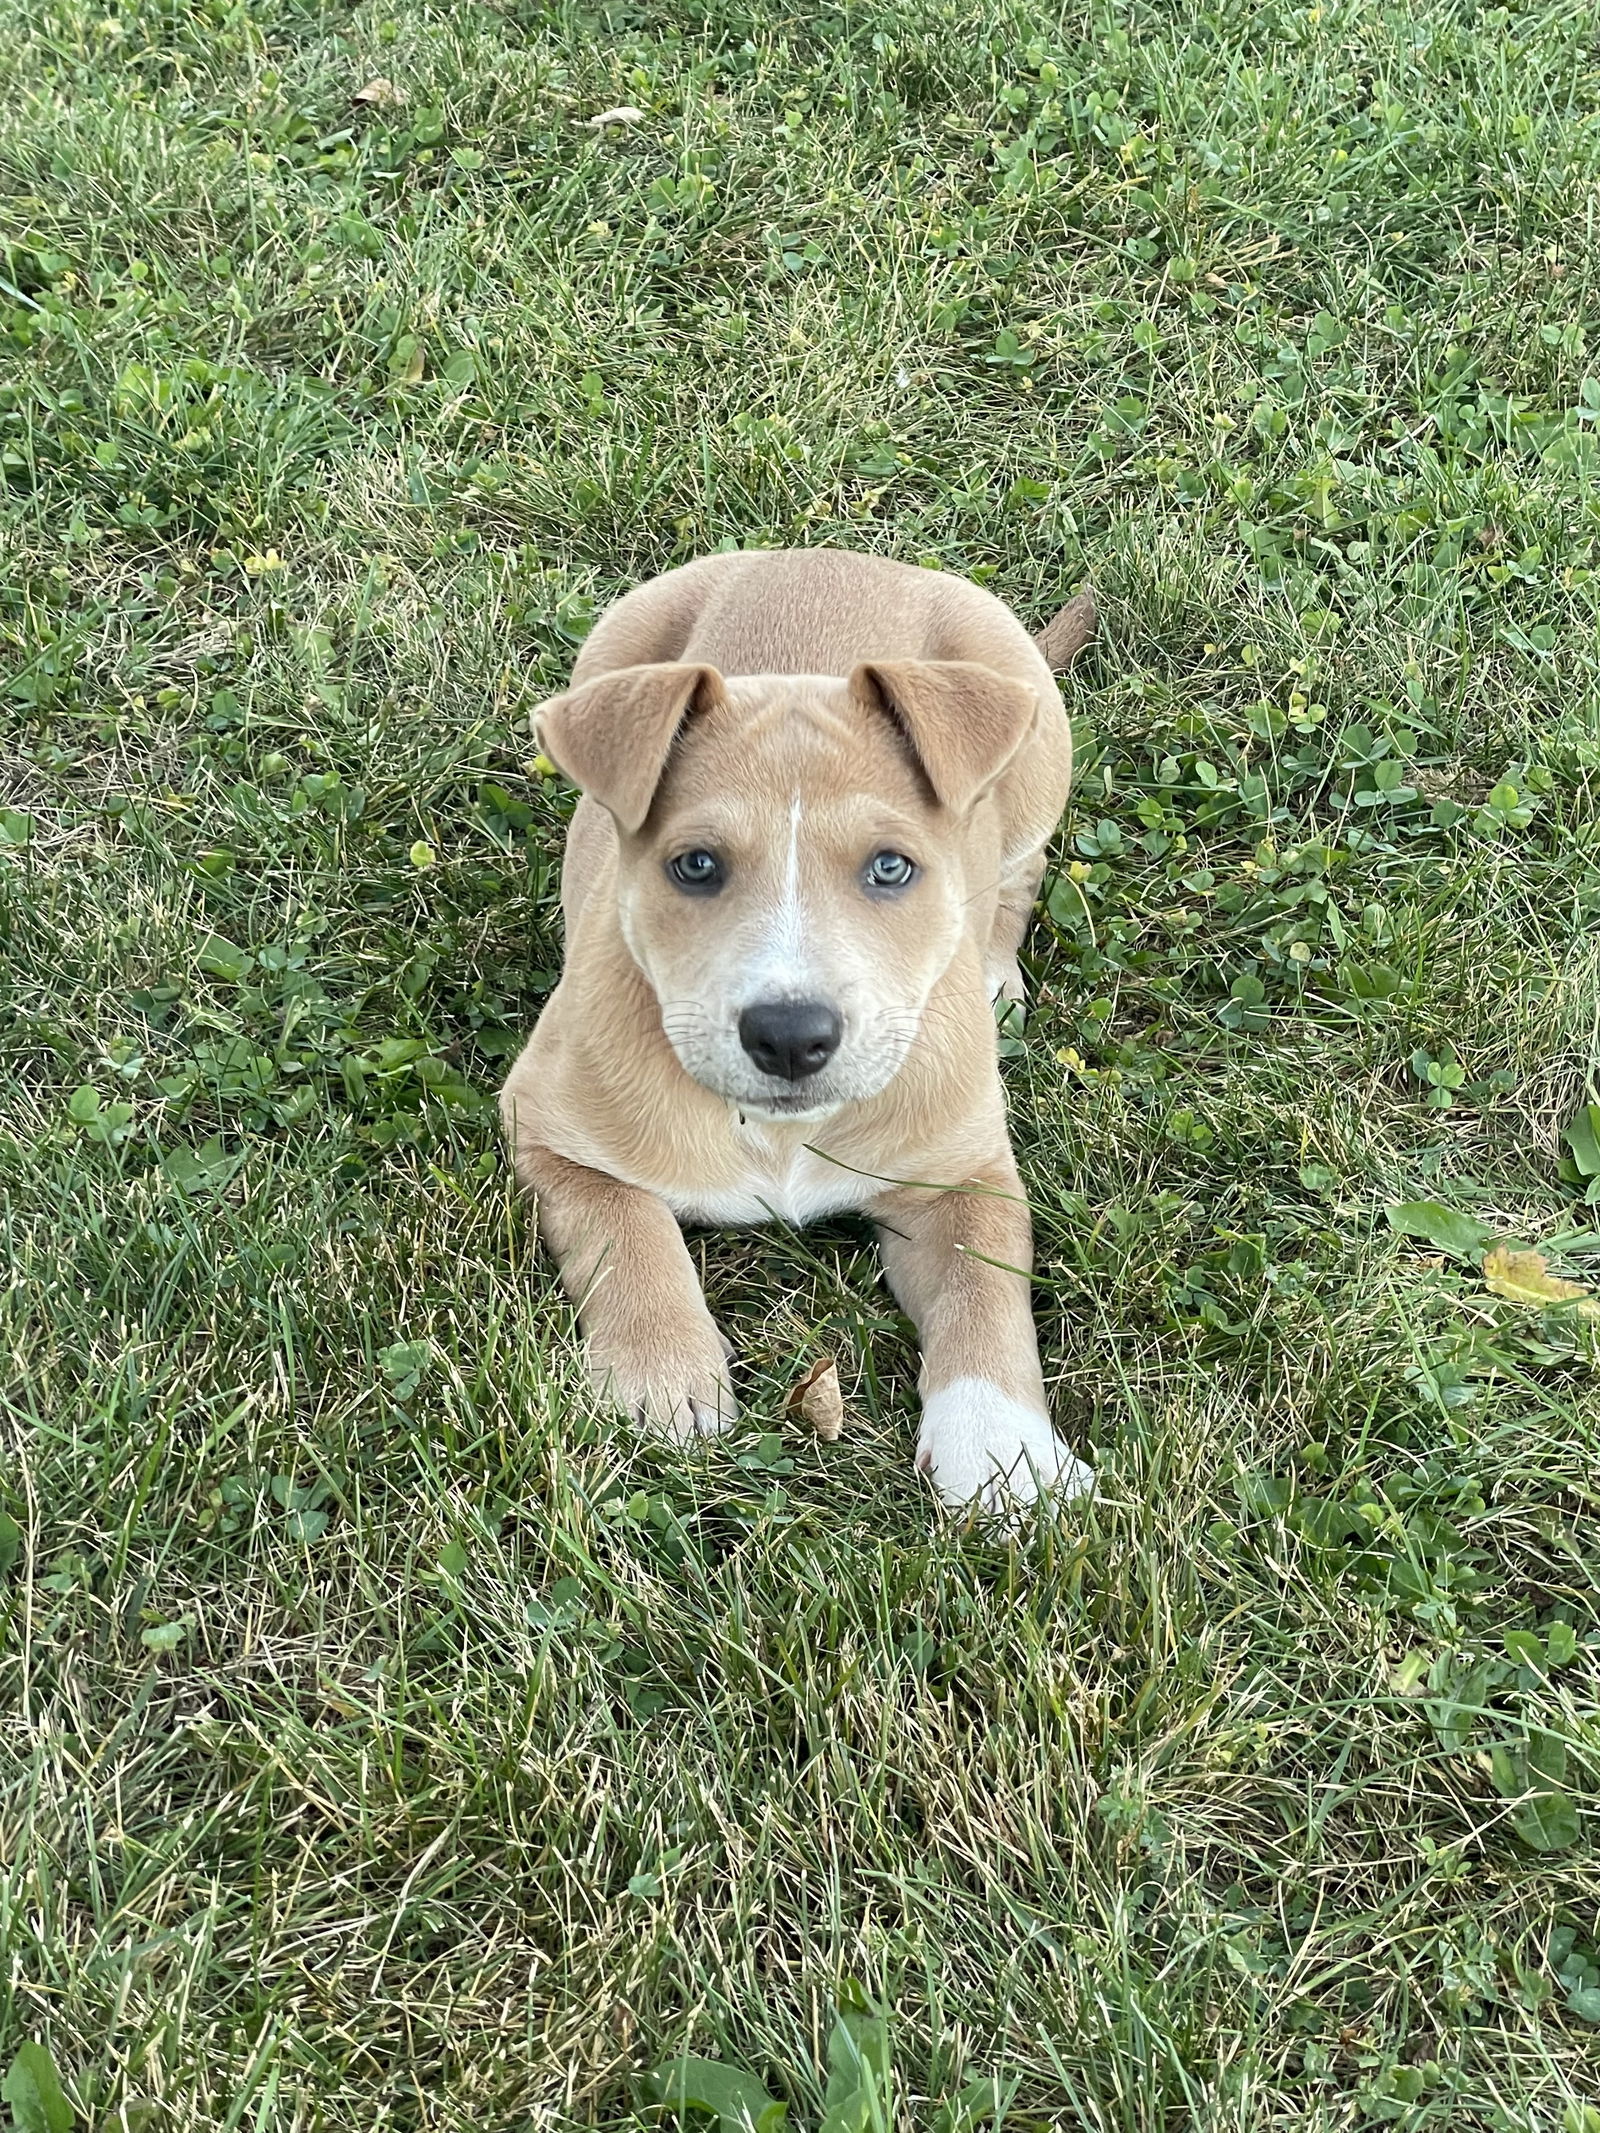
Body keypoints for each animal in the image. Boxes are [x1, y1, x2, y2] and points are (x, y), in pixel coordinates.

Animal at [501, 550, 1100, 1518]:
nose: (789, 1036)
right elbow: (625, 1233)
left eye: (890, 866)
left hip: (1038, 747)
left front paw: (1001, 1450)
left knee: (1020, 872)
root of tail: (835, 556)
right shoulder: (548, 1128)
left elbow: (985, 1289)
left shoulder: (962, 1174)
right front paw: (662, 1380)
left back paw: (994, 971)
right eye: (694, 865)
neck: (780, 1128)